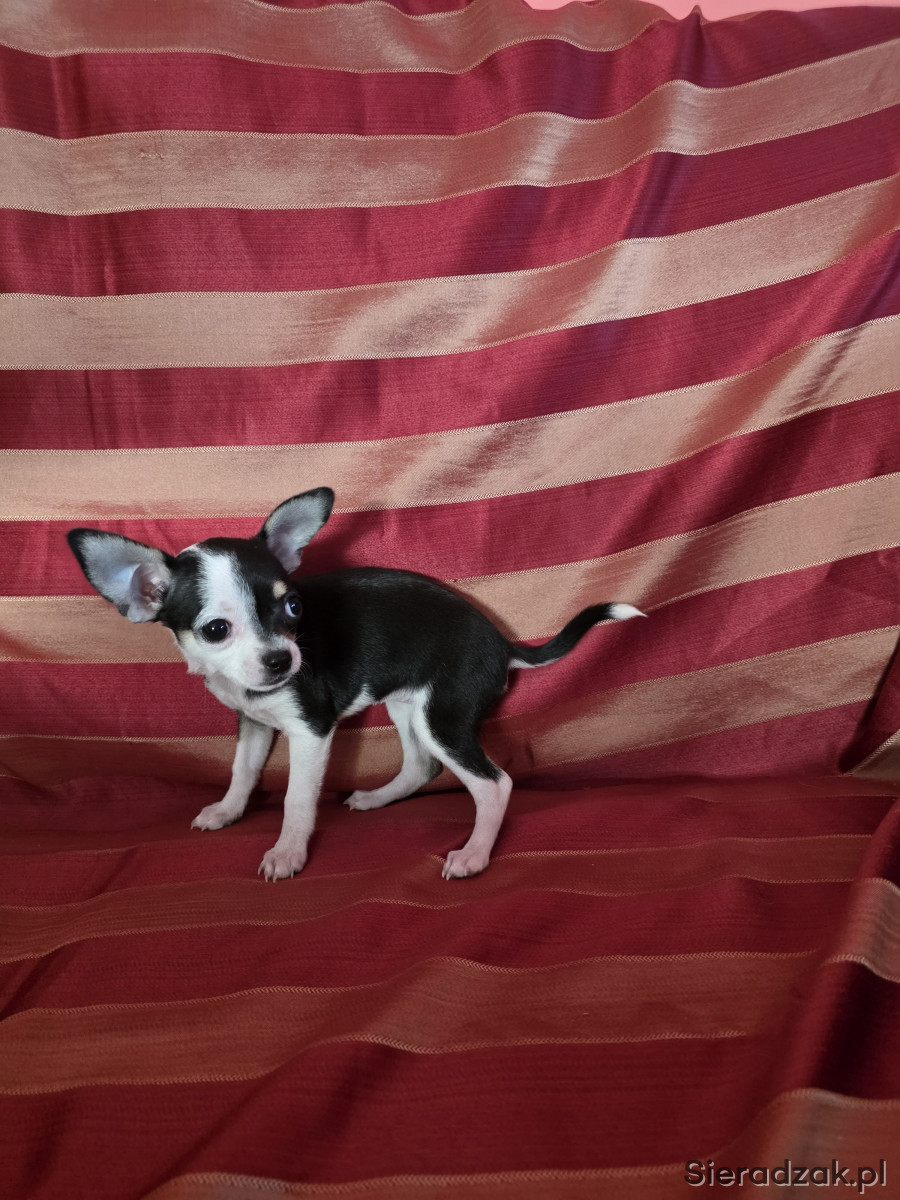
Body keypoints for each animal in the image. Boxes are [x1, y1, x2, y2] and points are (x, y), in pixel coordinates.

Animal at [68, 488, 643, 880]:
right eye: (215, 631)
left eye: (293, 607)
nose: (281, 660)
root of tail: (501, 642)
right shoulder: (253, 722)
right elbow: (243, 771)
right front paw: (229, 811)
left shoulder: (311, 731)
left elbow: (296, 799)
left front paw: (287, 852)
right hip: (409, 709)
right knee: (422, 766)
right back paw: (377, 798)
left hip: (442, 717)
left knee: (493, 784)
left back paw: (475, 854)